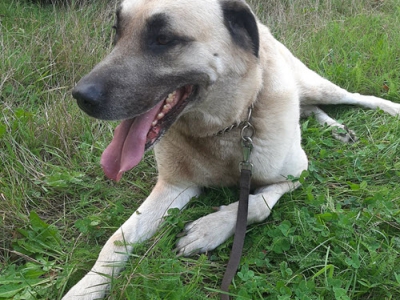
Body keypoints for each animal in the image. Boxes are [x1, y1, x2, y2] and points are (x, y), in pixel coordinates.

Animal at [64, 0, 398, 298]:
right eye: (116, 31)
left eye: (164, 39)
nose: (81, 97)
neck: (228, 127)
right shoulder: (174, 187)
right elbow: (116, 241)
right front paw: (85, 289)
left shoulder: (296, 174)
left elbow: (258, 205)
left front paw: (209, 228)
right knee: (310, 107)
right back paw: (335, 128)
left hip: (318, 87)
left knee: (353, 97)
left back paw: (382, 112)